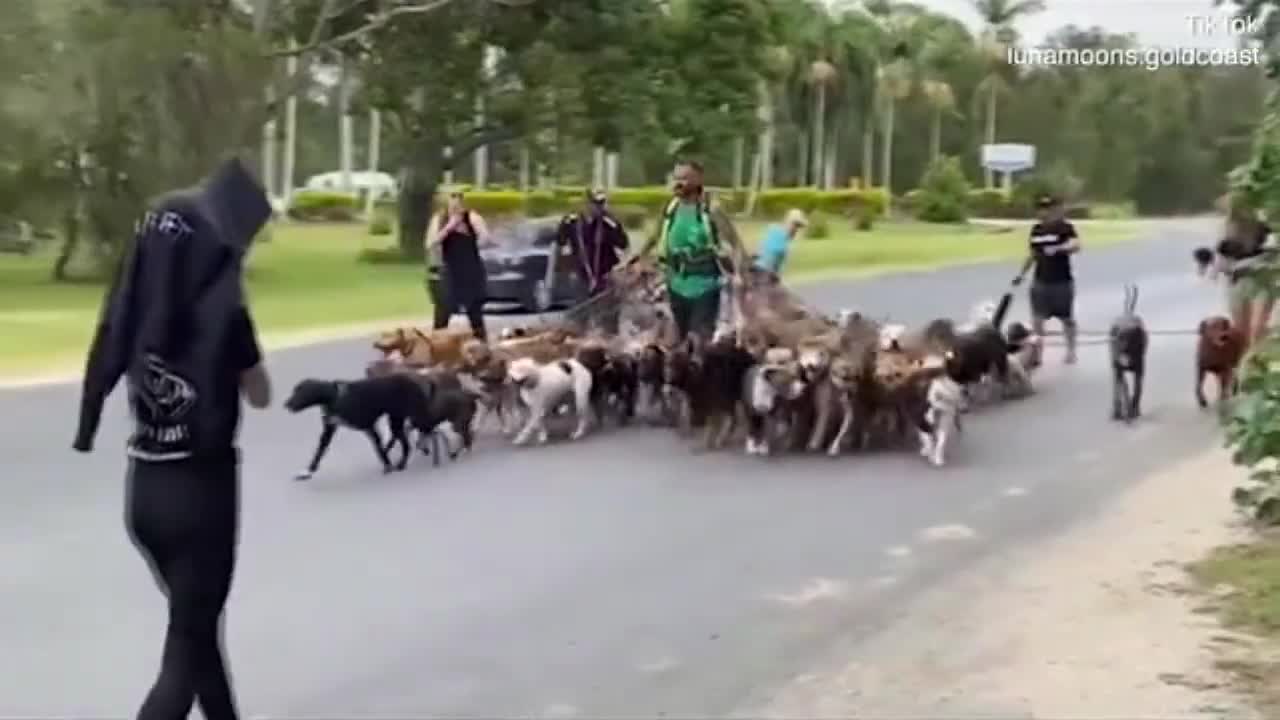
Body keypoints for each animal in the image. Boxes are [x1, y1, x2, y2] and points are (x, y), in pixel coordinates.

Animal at [286, 371, 435, 479]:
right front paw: (308, 471)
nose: (285, 404)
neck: (335, 397)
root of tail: (418, 379)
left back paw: (413, 454)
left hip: (414, 415)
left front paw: (387, 465)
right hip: (396, 419)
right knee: (405, 439)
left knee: (419, 433)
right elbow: (319, 451)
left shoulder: (369, 426)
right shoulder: (329, 430)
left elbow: (378, 449)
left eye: (300, 392)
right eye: (294, 390)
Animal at [1105, 283, 1146, 422]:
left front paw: (1134, 410)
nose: (1122, 349)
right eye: (1119, 338)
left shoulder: (1140, 369)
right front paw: (1128, 412)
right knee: (1116, 387)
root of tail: (1127, 313)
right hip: (1115, 368)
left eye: (1131, 338)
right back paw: (1117, 412)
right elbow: (1125, 389)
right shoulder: (1119, 369)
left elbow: (1138, 390)